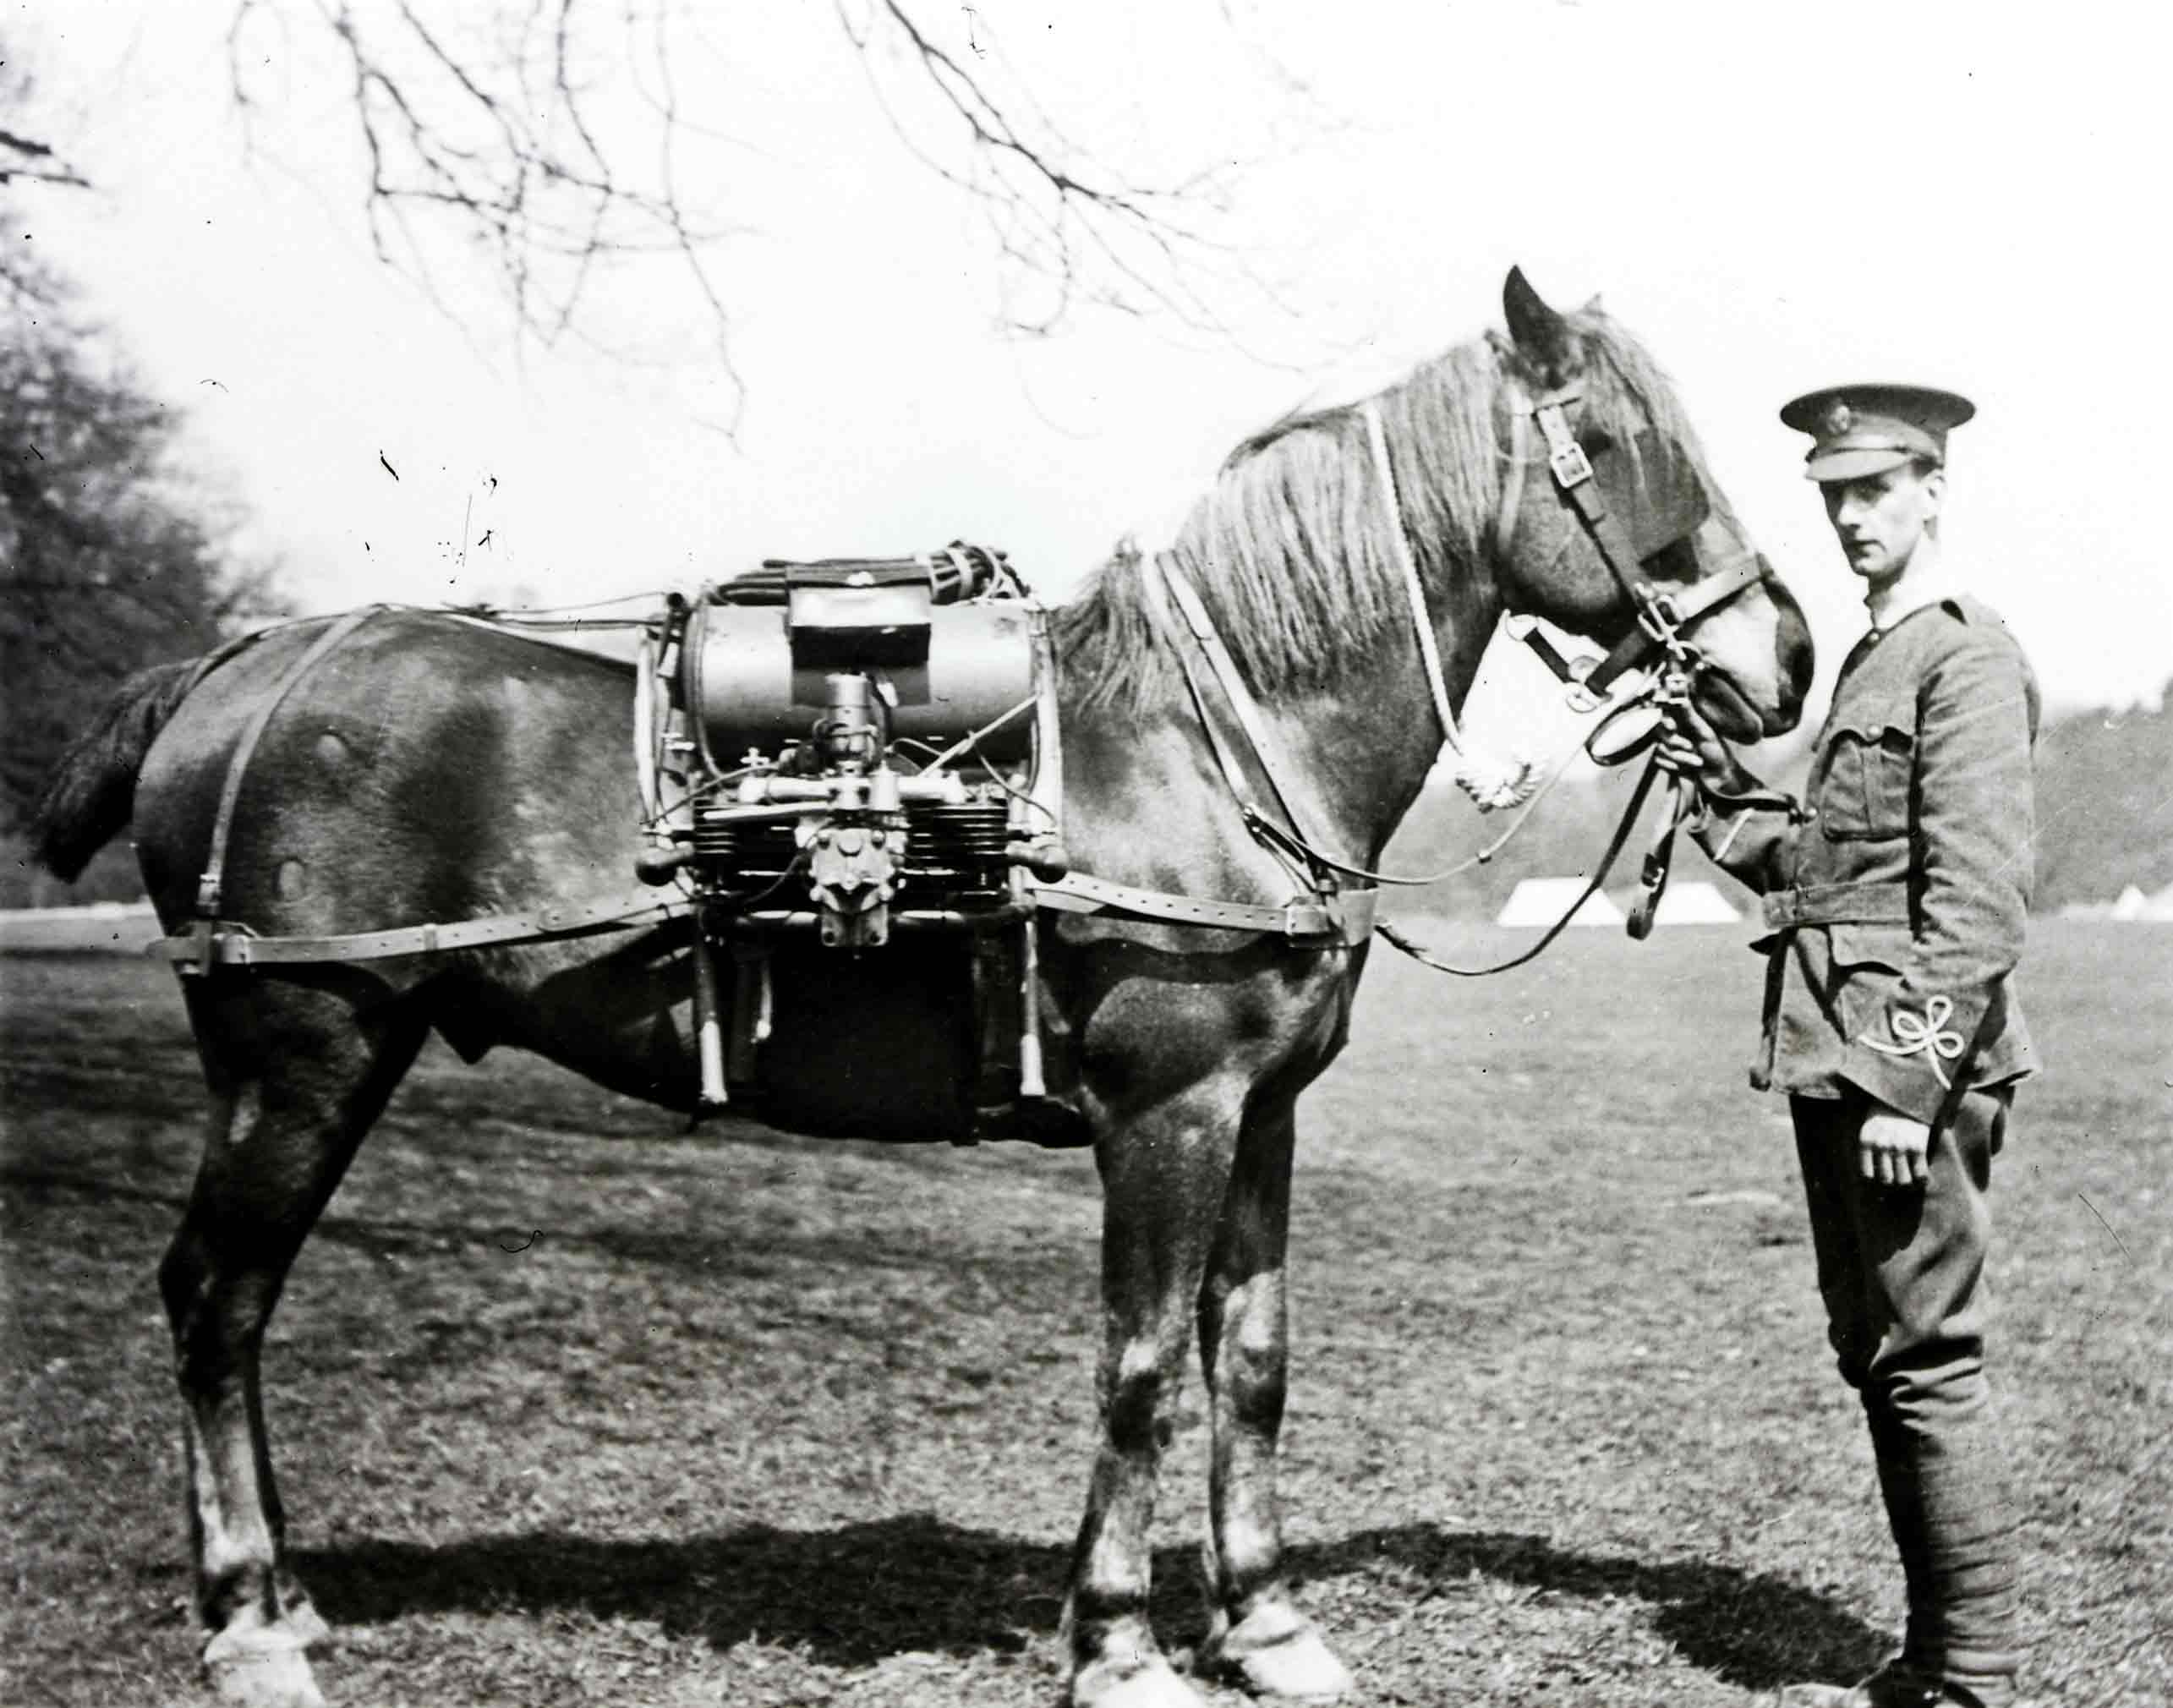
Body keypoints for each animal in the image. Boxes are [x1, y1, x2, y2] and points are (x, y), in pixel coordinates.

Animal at [34, 269, 1816, 1703]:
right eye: (1621, 445)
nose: (1783, 657)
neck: (1212, 744)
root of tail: (242, 665)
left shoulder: (1262, 1115)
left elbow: (1248, 1362)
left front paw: (1270, 1628)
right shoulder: (1167, 1115)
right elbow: (1140, 1368)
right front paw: (1120, 1646)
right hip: (303, 1056)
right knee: (216, 1302)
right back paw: (251, 1623)